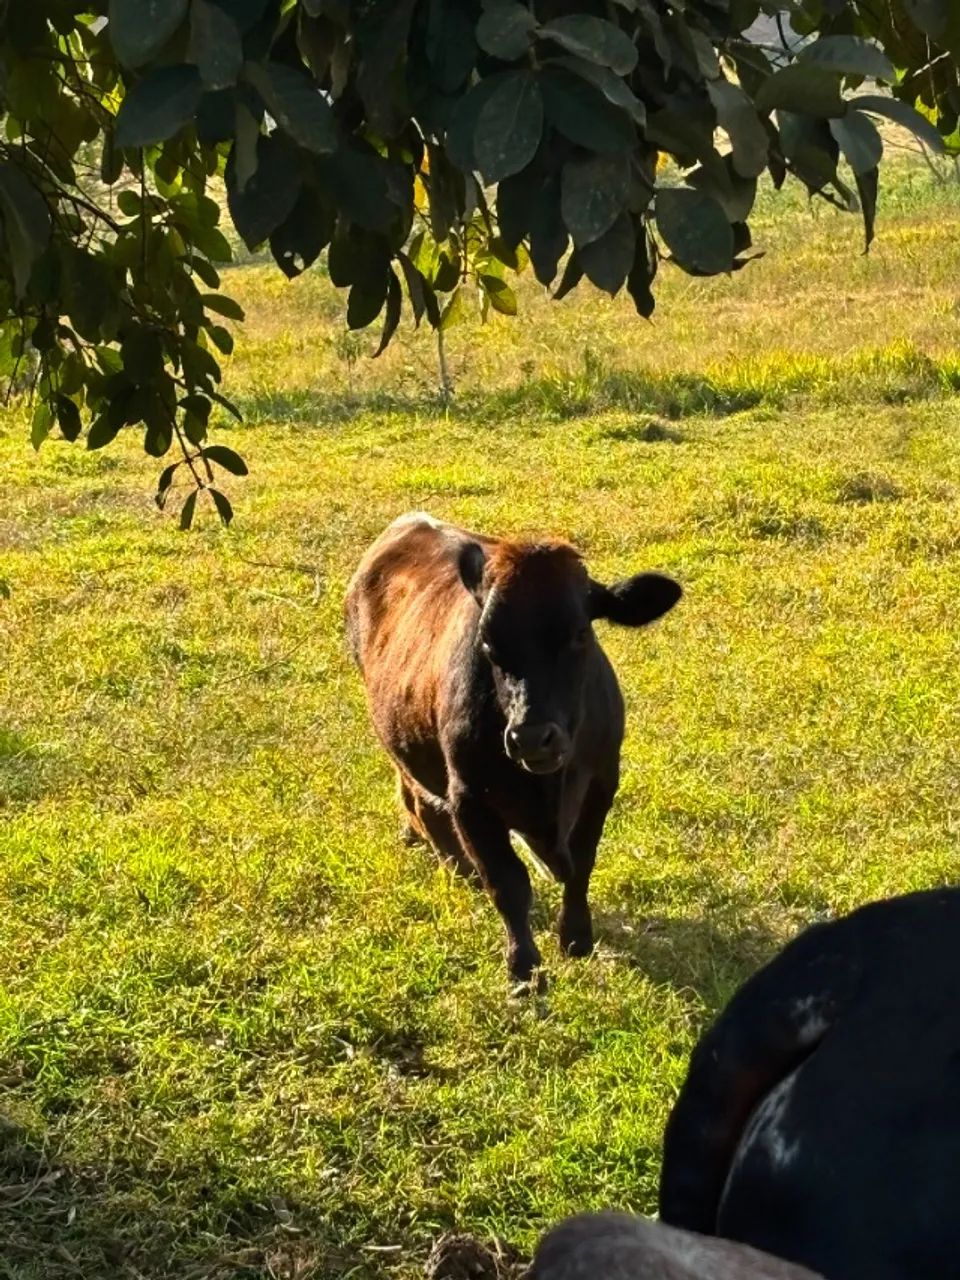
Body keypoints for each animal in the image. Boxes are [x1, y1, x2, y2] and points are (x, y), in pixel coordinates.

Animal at [344, 513, 681, 986]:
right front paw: (524, 965)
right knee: (420, 801)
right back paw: (455, 864)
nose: (532, 737)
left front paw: (576, 938)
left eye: (581, 633)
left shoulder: (602, 781)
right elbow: (508, 882)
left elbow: (582, 862)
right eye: (487, 641)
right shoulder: (470, 798)